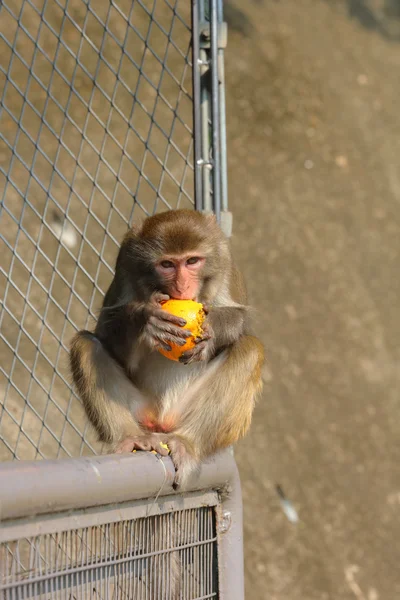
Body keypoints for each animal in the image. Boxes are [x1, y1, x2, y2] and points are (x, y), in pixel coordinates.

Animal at [70, 209, 264, 490]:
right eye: (167, 265)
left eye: (192, 261)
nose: (182, 286)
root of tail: (162, 419)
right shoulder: (126, 263)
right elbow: (105, 329)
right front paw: (144, 318)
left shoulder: (225, 261)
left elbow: (241, 318)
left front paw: (214, 326)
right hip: (141, 410)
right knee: (86, 344)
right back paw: (130, 437)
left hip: (185, 413)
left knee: (250, 349)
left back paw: (186, 443)